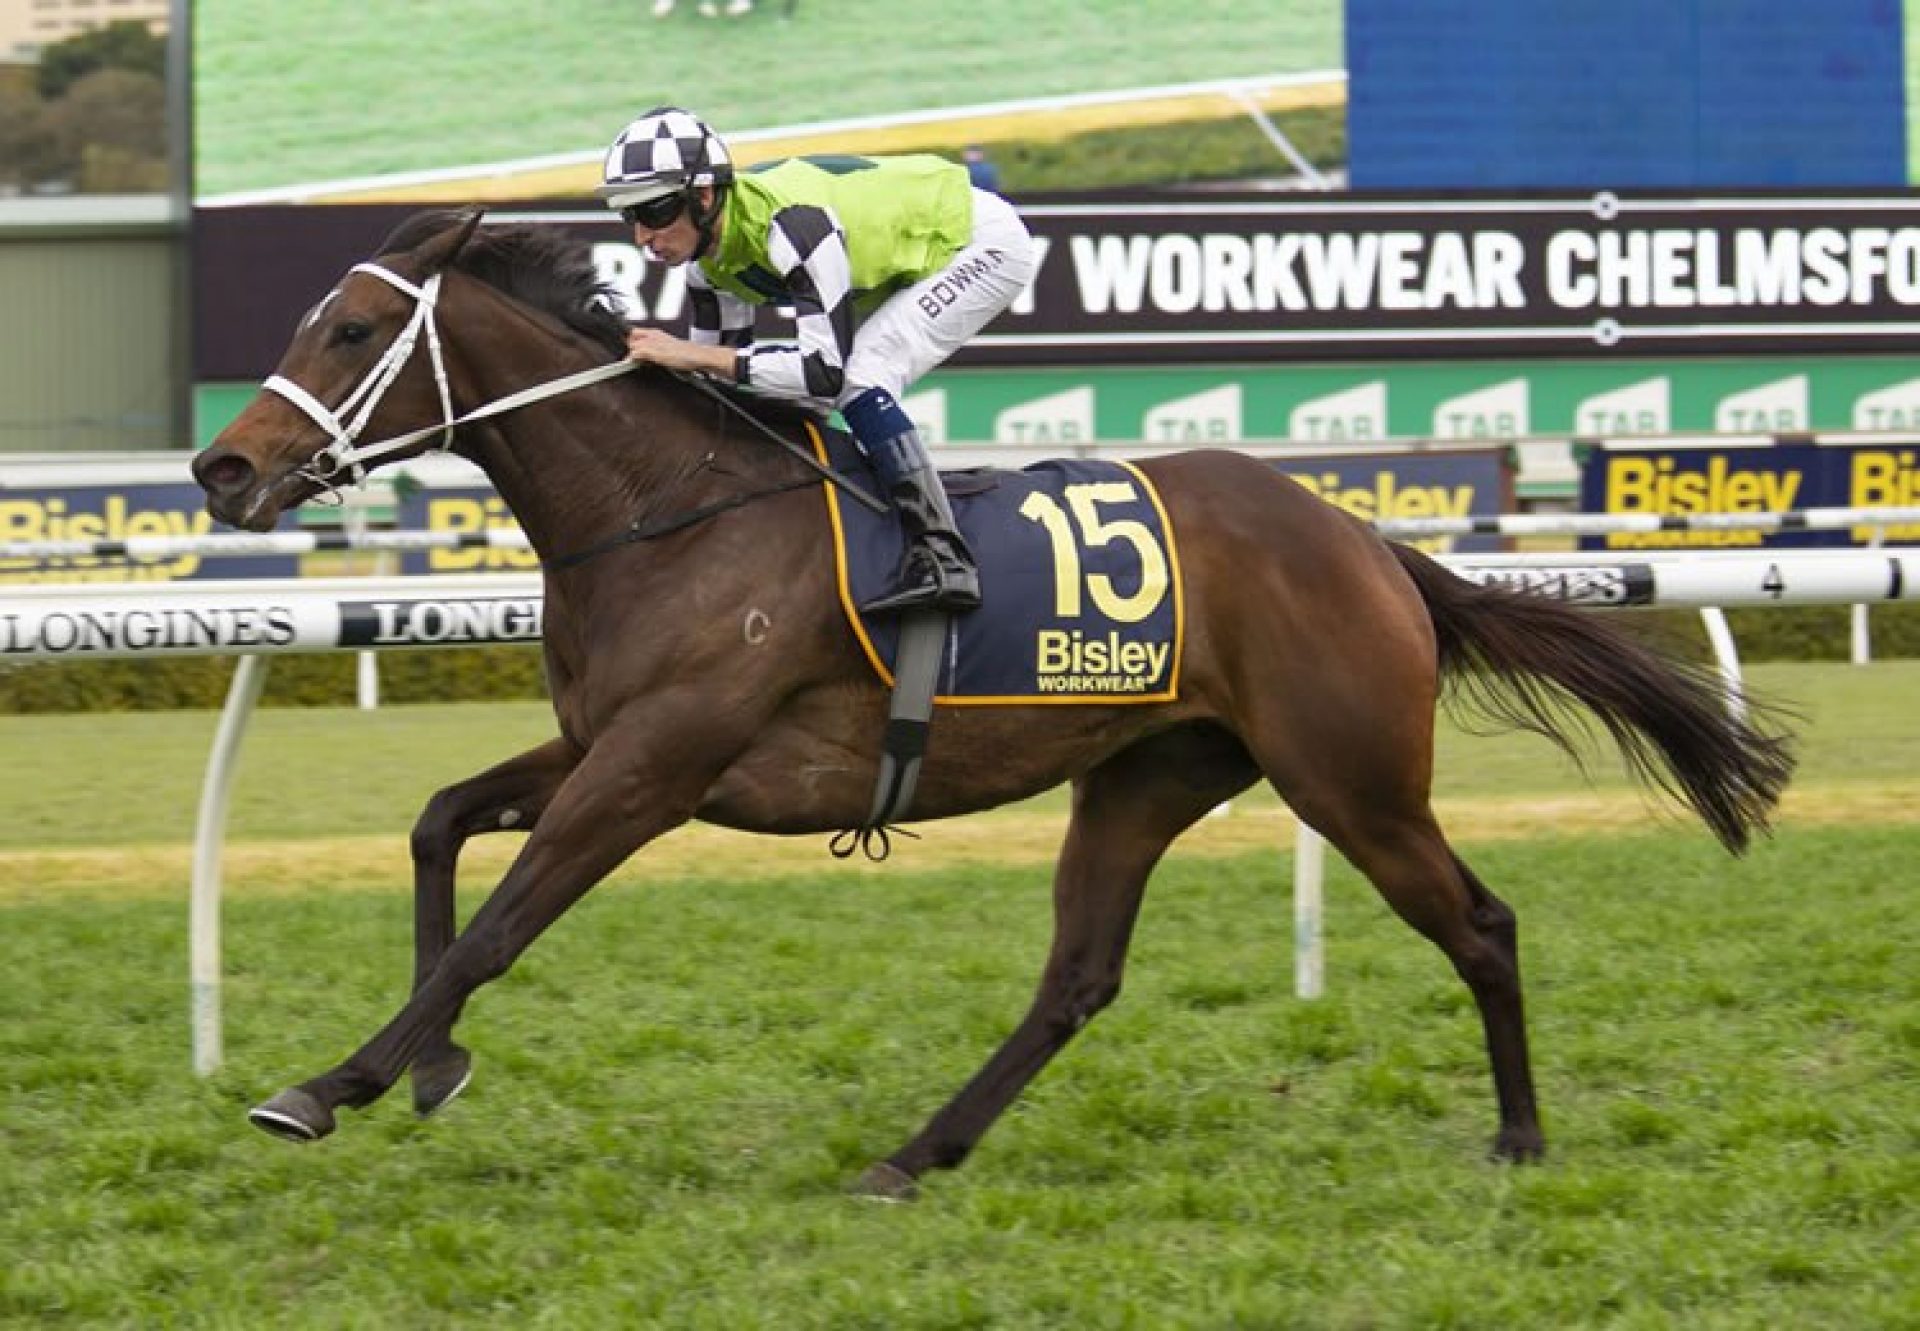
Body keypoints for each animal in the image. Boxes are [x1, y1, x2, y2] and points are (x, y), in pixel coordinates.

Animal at [187, 210, 1789, 1206]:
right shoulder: (604, 744)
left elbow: (503, 925)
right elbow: (437, 823)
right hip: (1149, 771)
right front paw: (429, 1065)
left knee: (1481, 922)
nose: (220, 469)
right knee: (1077, 976)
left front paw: (332, 1081)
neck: (668, 512)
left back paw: (1520, 1136)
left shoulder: (652, 769)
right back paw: (914, 1152)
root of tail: (1367, 541)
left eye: (348, 331)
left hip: (1352, 776)